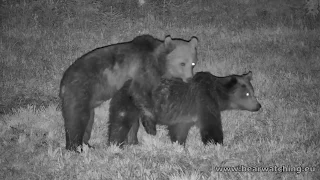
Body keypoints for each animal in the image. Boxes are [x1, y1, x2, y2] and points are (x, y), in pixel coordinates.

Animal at [58, 34, 198, 151]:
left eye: (193, 63)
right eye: (182, 63)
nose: (189, 78)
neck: (159, 63)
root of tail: (64, 81)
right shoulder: (143, 71)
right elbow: (140, 94)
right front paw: (151, 127)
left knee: (88, 121)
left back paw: (87, 144)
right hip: (80, 91)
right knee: (76, 118)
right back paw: (75, 146)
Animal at [109, 71, 262, 147]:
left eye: (253, 92)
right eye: (247, 94)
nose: (258, 106)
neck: (217, 94)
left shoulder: (183, 115)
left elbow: (179, 130)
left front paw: (179, 144)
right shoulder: (204, 101)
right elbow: (211, 125)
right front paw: (217, 143)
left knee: (132, 125)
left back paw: (133, 142)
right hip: (128, 102)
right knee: (120, 123)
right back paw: (116, 144)